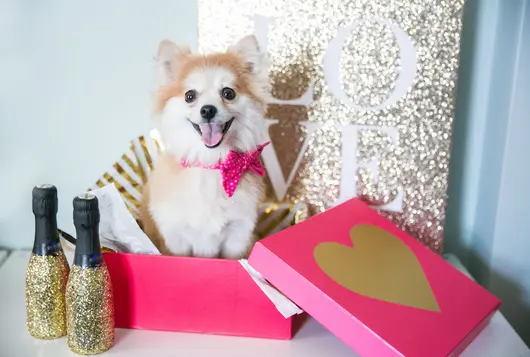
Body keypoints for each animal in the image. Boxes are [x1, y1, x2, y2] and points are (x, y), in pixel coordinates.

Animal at [140, 35, 268, 258]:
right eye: (189, 96)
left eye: (228, 93)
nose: (207, 110)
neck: (210, 164)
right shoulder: (176, 240)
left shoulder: (238, 237)